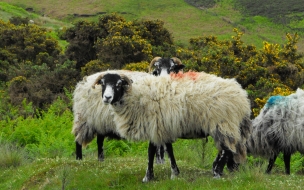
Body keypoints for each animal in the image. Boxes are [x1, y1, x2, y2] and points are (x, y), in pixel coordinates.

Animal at [93, 71, 252, 181]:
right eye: (103, 83)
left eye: (118, 84)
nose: (107, 98)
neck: (136, 97)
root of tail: (242, 96)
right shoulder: (162, 127)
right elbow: (166, 150)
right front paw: (171, 173)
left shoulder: (156, 126)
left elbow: (153, 151)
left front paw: (150, 177)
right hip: (225, 125)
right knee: (227, 148)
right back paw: (217, 168)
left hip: (224, 122)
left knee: (226, 149)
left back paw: (217, 173)